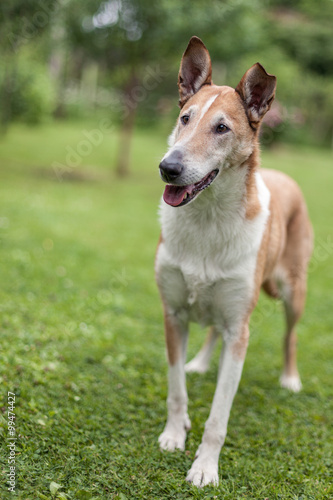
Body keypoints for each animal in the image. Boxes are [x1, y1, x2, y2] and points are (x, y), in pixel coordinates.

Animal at [154, 36, 312, 488]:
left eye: (222, 128)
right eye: (185, 118)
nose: (168, 168)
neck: (208, 219)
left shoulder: (240, 333)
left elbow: (218, 417)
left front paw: (205, 467)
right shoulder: (173, 314)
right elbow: (175, 390)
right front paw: (175, 433)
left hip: (293, 292)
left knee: (290, 337)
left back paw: (290, 378)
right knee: (212, 330)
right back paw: (202, 362)